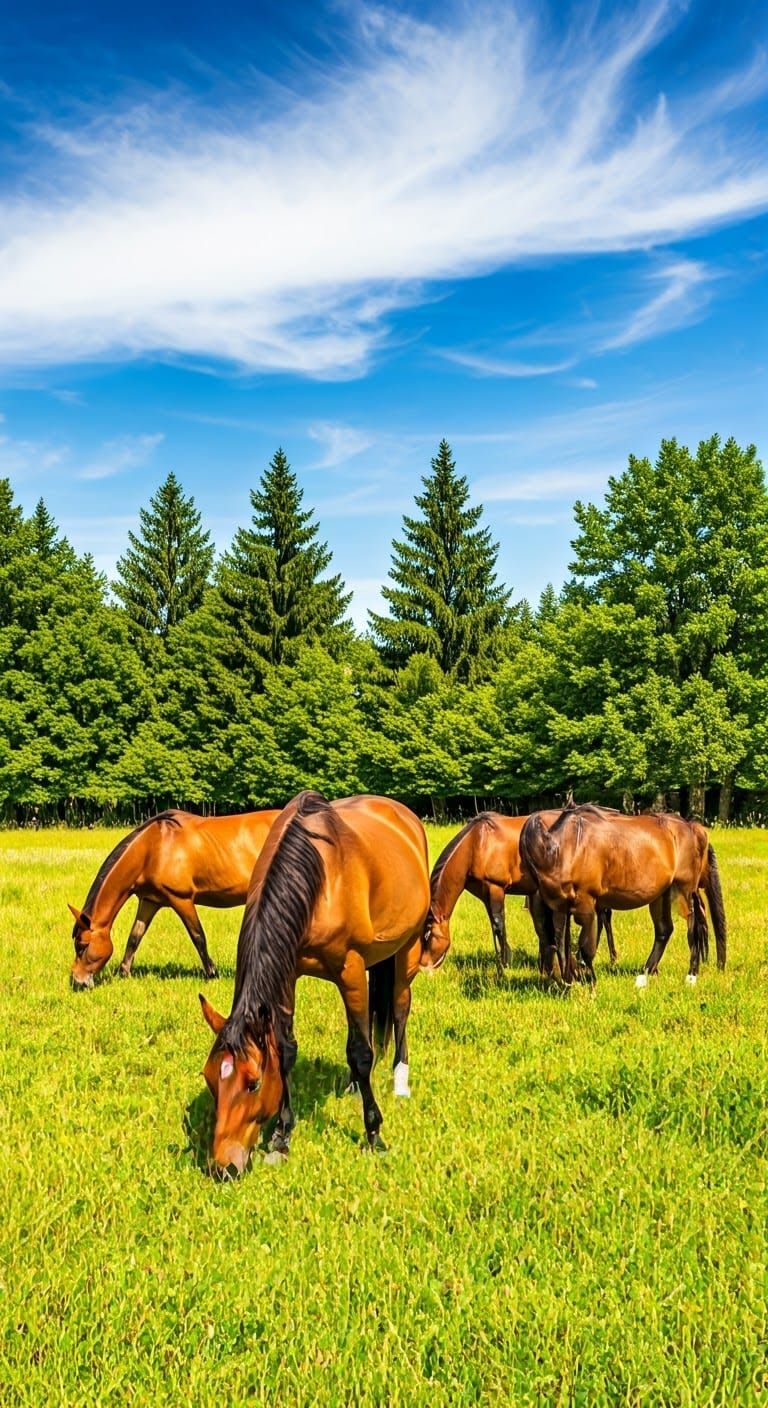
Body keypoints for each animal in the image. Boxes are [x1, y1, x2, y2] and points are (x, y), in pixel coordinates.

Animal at [69, 808, 279, 988]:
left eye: (82, 945)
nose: (78, 981)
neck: (153, 848)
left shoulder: (181, 899)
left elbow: (198, 937)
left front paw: (211, 973)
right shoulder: (150, 901)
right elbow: (135, 937)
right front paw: (125, 973)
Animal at [199, 791, 430, 1174]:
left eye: (253, 1083)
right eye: (210, 1078)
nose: (223, 1167)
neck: (321, 878)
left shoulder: (350, 967)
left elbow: (361, 1052)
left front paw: (374, 1134)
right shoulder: (289, 973)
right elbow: (286, 1050)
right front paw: (281, 1137)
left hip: (406, 947)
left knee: (399, 1007)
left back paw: (400, 1080)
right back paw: (354, 1086)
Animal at [421, 810, 617, 975]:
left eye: (429, 935)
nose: (423, 966)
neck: (477, 843)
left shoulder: (496, 887)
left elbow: (498, 924)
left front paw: (504, 963)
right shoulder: (485, 893)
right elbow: (495, 925)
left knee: (603, 918)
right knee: (603, 917)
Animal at [519, 805, 726, 985]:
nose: (546, 973)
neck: (566, 849)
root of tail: (694, 828)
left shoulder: (585, 905)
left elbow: (585, 946)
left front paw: (589, 980)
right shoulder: (560, 907)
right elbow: (562, 943)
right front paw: (569, 979)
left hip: (685, 892)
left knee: (694, 929)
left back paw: (691, 974)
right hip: (661, 896)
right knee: (664, 930)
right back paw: (646, 973)